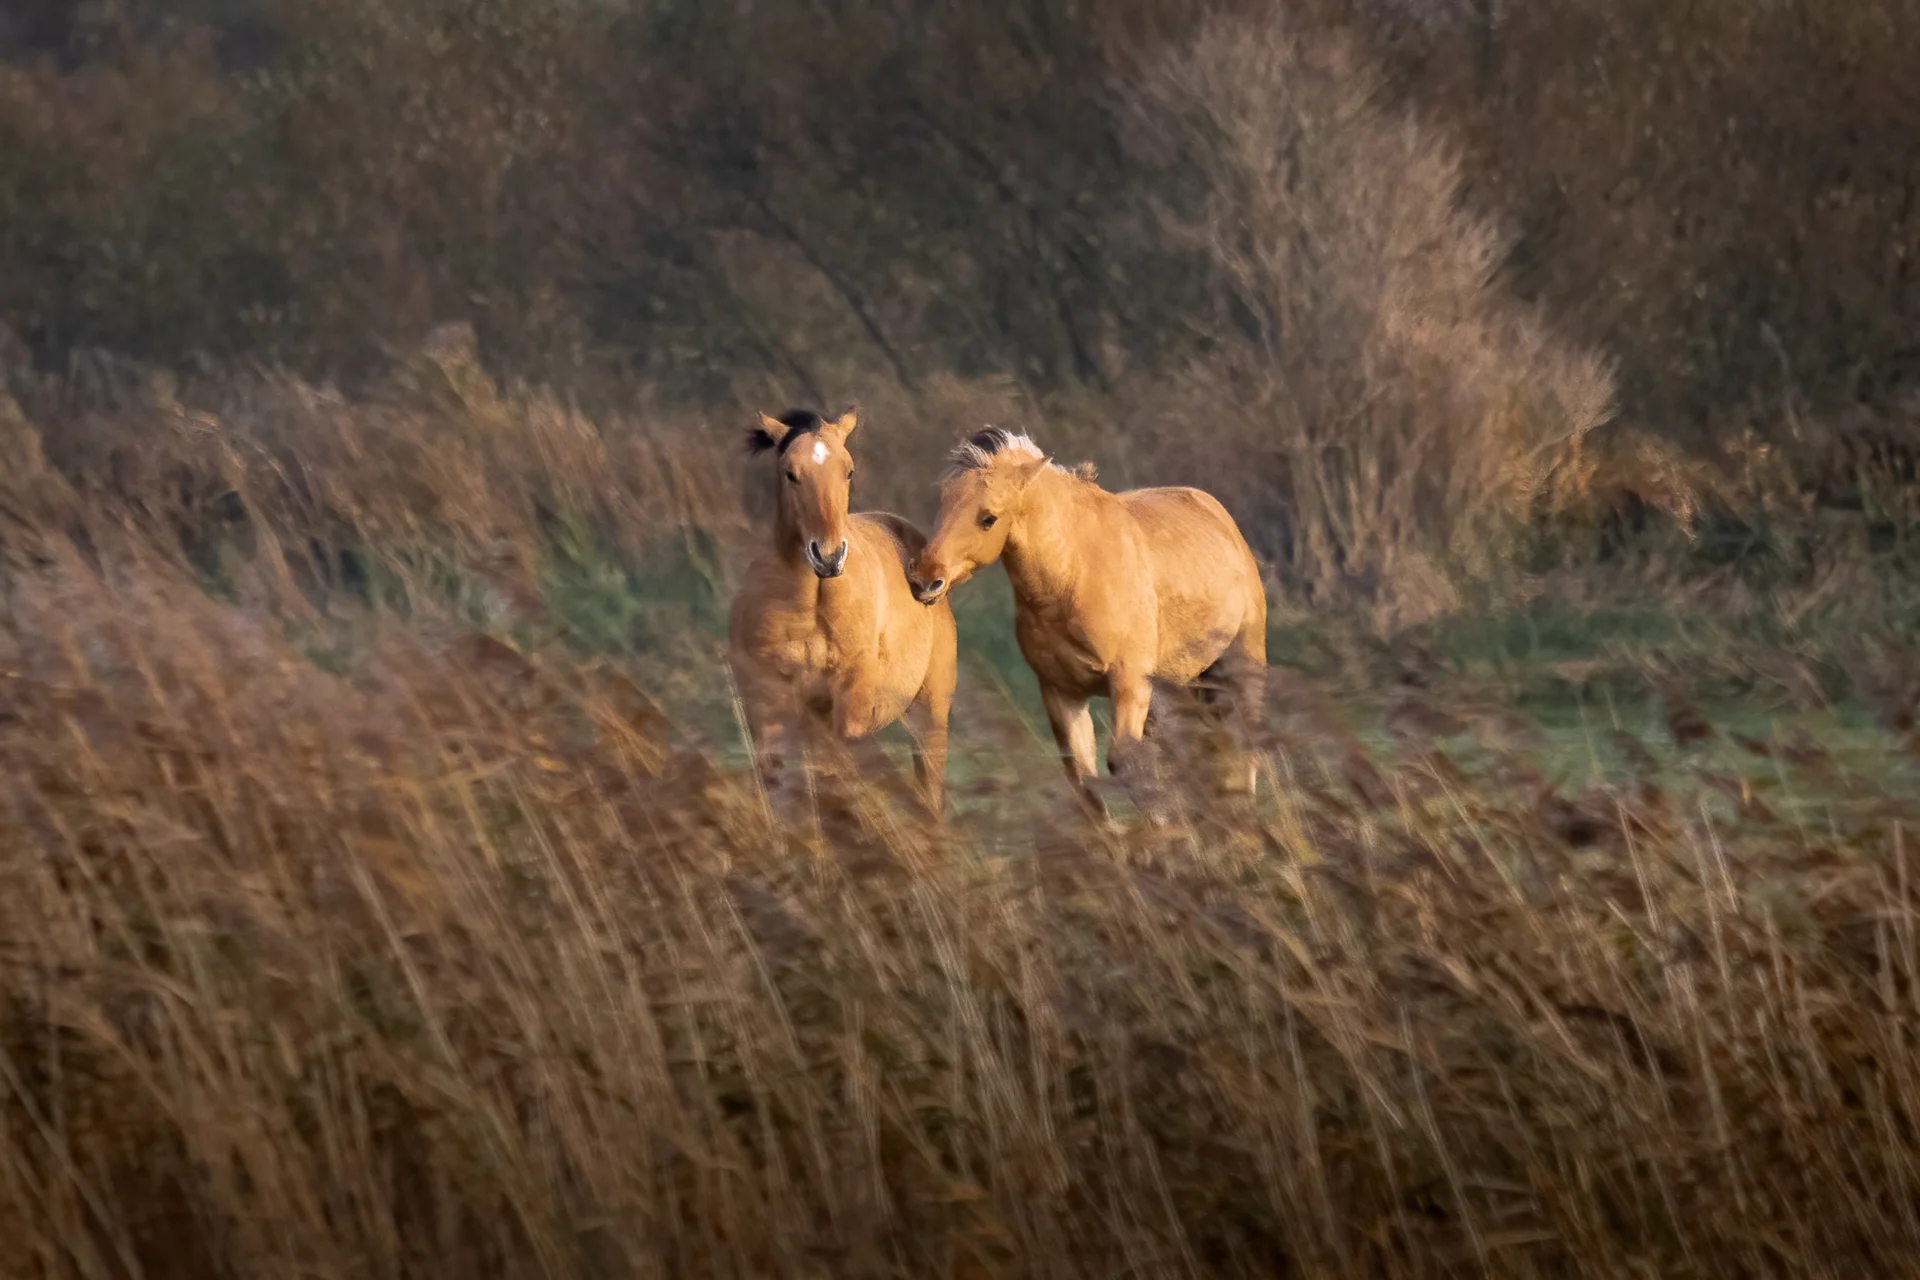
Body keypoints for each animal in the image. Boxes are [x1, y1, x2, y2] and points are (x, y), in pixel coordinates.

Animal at [727, 407, 958, 814]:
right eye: (790, 473)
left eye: (848, 471)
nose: (829, 556)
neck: (811, 604)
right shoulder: (768, 706)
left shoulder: (848, 704)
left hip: (929, 713)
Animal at [905, 427, 1267, 813]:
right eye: (943, 503)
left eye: (988, 518)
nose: (925, 580)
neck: (1075, 572)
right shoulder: (1062, 692)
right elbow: (1084, 780)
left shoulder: (1128, 684)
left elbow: (1126, 765)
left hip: (1240, 668)